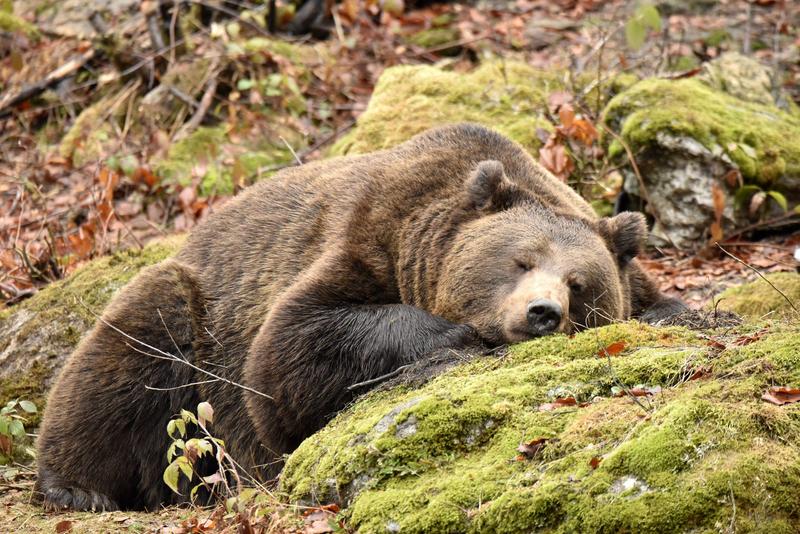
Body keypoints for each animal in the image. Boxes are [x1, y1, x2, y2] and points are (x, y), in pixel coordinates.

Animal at [36, 123, 680, 512]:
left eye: (579, 283)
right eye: (521, 260)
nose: (543, 312)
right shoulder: (365, 234)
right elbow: (288, 353)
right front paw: (455, 334)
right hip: (197, 316)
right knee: (128, 358)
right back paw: (77, 488)